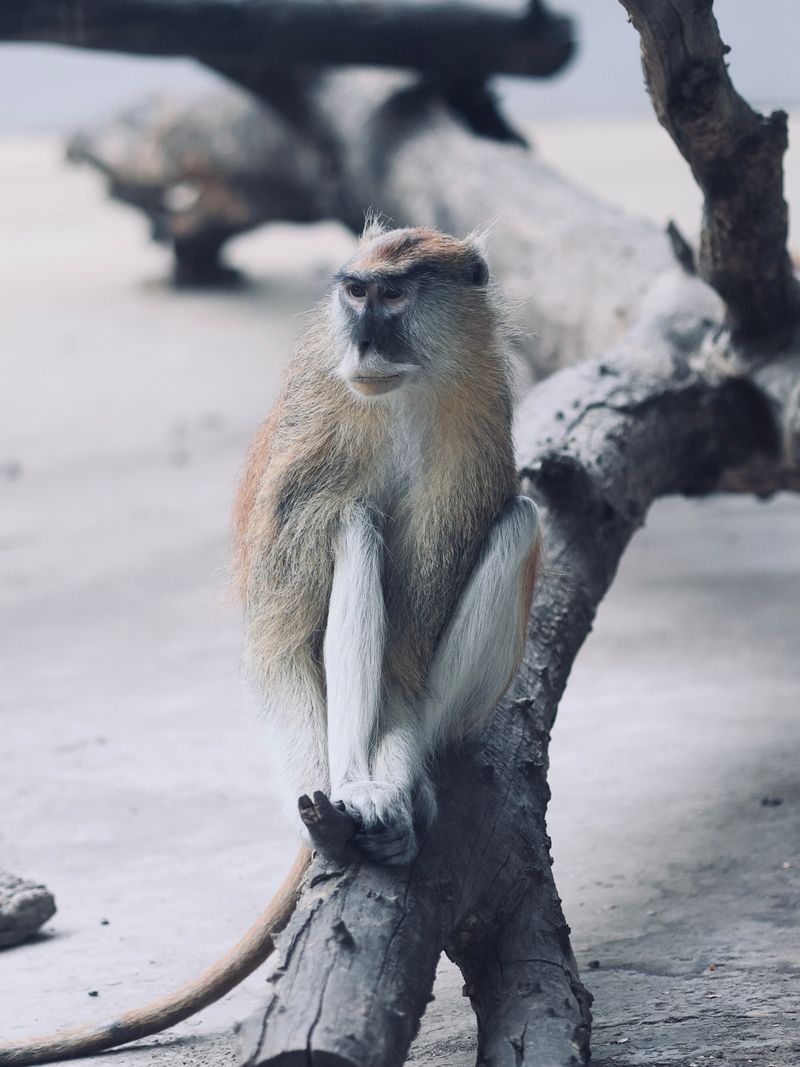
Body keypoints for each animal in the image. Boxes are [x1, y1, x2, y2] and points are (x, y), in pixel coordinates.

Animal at [0, 224, 541, 1064]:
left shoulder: (477, 416)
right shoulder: (308, 449)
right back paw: (354, 791)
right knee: (353, 522)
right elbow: (277, 643)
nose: (363, 335)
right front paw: (355, 793)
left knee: (517, 521)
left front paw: (395, 770)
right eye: (354, 291)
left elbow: (412, 655)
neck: (400, 398)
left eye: (393, 295)